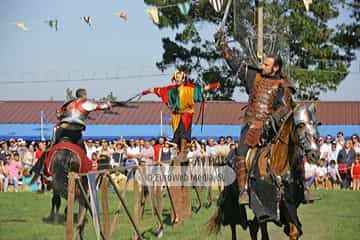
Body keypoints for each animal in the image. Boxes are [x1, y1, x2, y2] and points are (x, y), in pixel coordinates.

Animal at [208, 104, 320, 240]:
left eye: (316, 124)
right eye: (300, 125)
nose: (315, 154)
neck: (279, 165)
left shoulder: (289, 206)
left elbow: (294, 232)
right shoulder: (263, 206)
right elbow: (263, 233)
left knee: (252, 227)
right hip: (232, 200)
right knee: (234, 224)